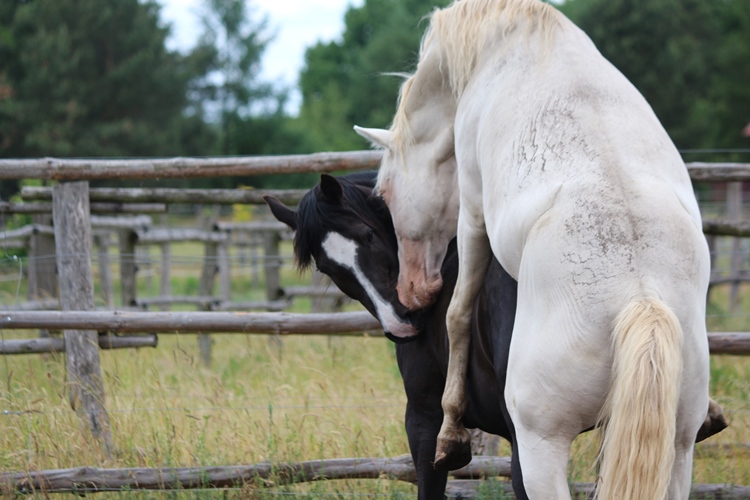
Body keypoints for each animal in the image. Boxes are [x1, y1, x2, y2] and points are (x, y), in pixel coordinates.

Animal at [356, 1, 712, 498]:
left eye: (385, 194)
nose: (412, 292)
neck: (508, 41)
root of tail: (641, 301)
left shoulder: (473, 208)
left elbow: (458, 313)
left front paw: (451, 432)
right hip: (677, 448)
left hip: (541, 445)